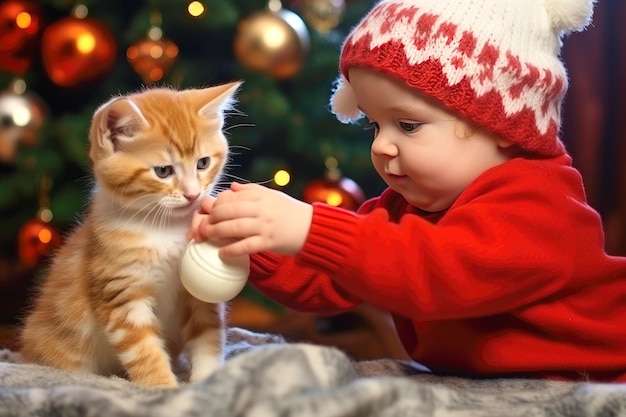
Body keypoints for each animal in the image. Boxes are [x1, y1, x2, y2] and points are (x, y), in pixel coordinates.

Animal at [18, 81, 239, 386]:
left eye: (203, 163)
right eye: (163, 171)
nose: (194, 195)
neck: (164, 228)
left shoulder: (198, 297)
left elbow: (208, 336)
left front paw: (207, 380)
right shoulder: (120, 293)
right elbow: (143, 350)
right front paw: (163, 387)